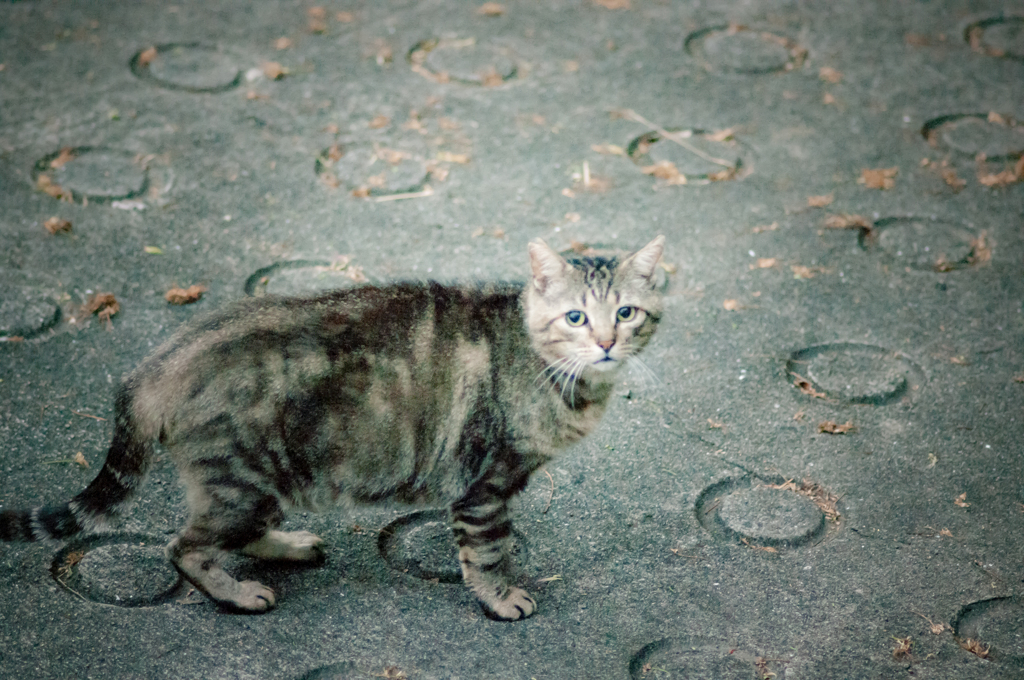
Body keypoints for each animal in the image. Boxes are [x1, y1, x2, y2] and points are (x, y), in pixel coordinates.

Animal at [0, 235, 663, 622]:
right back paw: (238, 594)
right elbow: (488, 550)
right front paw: (500, 598)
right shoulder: (485, 483)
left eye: (626, 313)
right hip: (243, 479)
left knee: (230, 535)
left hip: (264, 483)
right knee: (184, 547)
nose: (606, 343)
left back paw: (288, 546)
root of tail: (157, 364)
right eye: (575, 317)